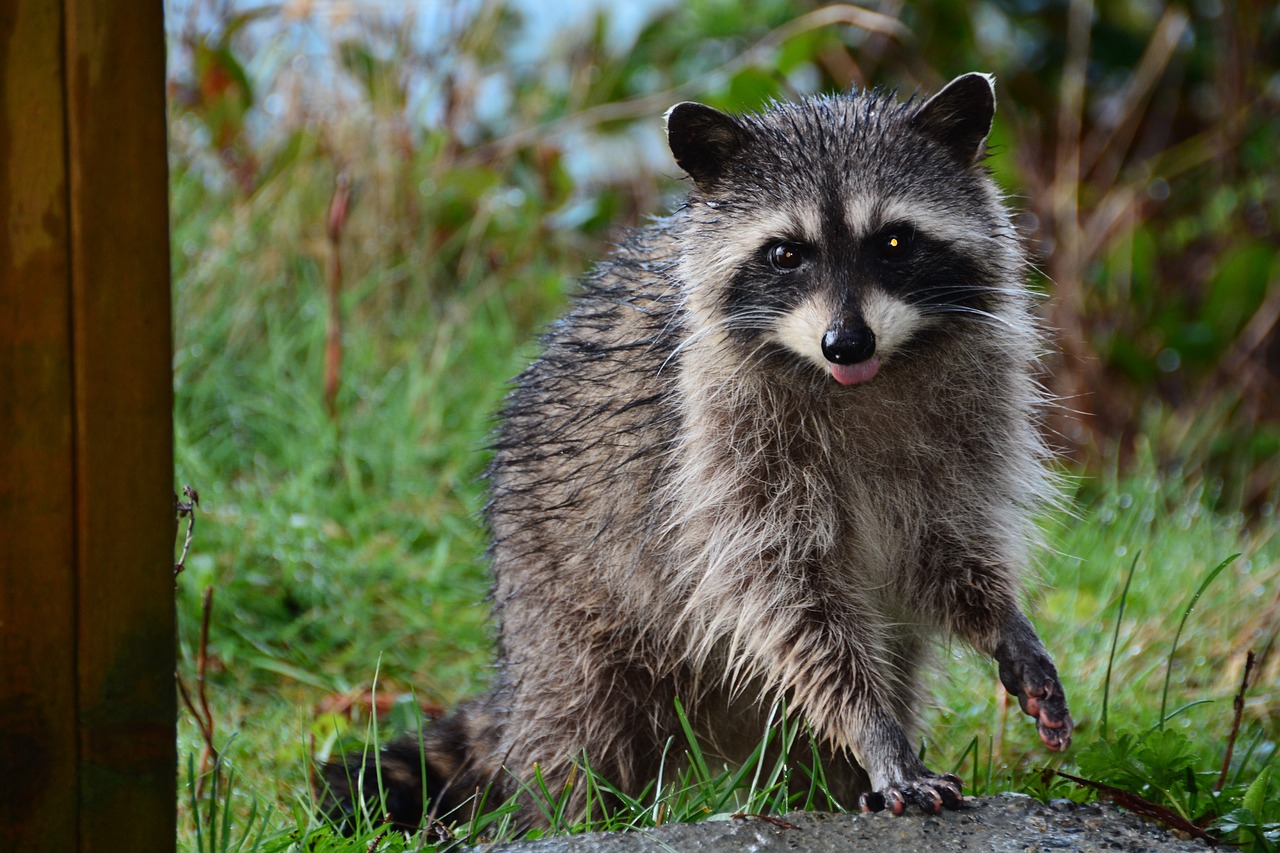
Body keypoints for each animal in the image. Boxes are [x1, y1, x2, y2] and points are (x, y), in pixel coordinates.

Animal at [317, 73, 1070, 829]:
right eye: (785, 253)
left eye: (893, 240)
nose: (846, 343)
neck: (863, 380)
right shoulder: (719, 450)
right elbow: (789, 600)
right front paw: (873, 730)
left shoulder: (968, 421)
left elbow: (946, 546)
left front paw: (1002, 621)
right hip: (564, 607)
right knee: (578, 733)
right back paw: (566, 811)